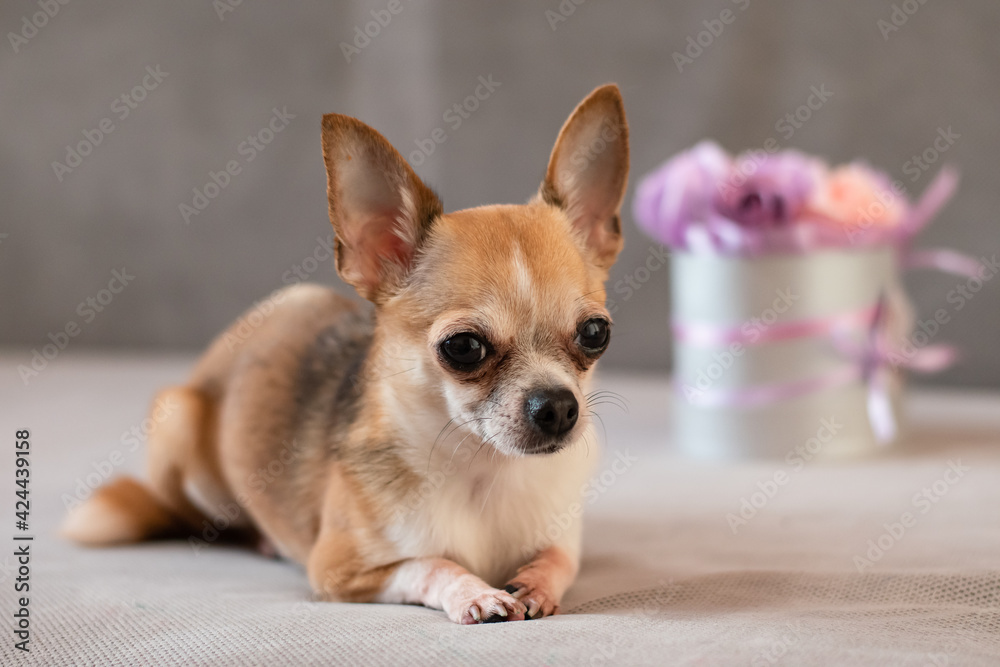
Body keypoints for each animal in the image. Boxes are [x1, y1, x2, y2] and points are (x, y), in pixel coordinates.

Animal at [62, 85, 628, 628]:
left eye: (595, 333)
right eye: (463, 348)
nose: (559, 406)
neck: (484, 473)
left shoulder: (563, 537)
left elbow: (559, 559)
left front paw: (534, 582)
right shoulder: (339, 570)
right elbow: (430, 563)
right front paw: (474, 592)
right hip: (178, 424)